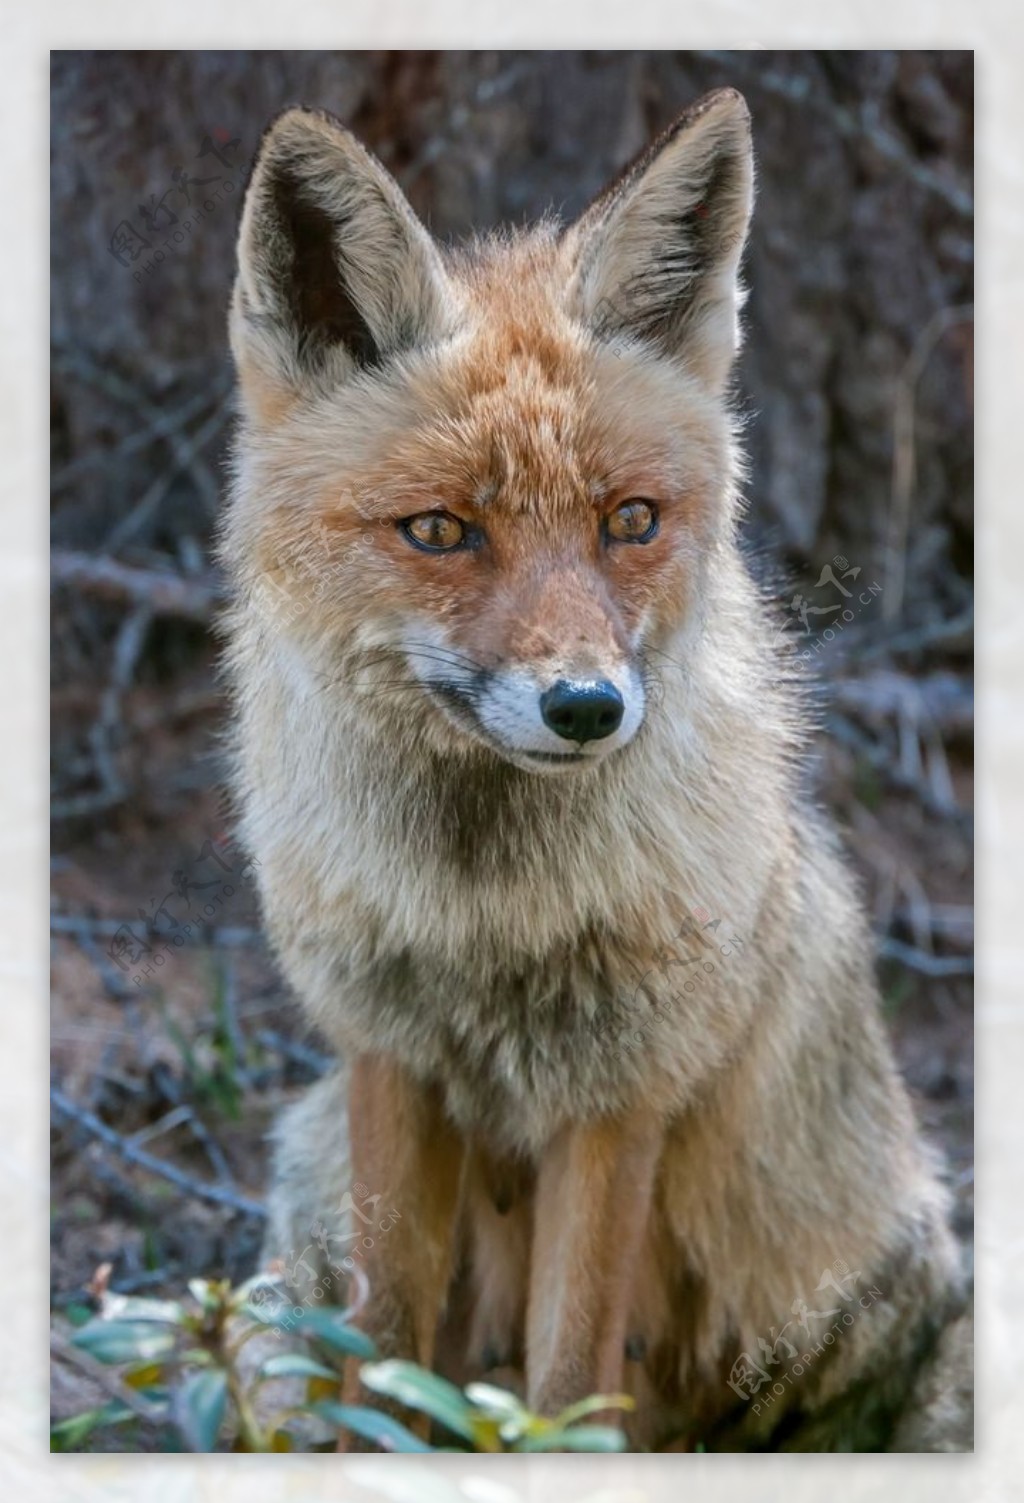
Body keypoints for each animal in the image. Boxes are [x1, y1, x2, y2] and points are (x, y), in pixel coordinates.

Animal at [219, 87, 968, 1448]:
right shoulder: (385, 1056)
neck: (487, 914)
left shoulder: (620, 1099)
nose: (585, 707)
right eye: (440, 531)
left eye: (630, 521)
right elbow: (379, 1351)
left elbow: (569, 1389)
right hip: (302, 1179)